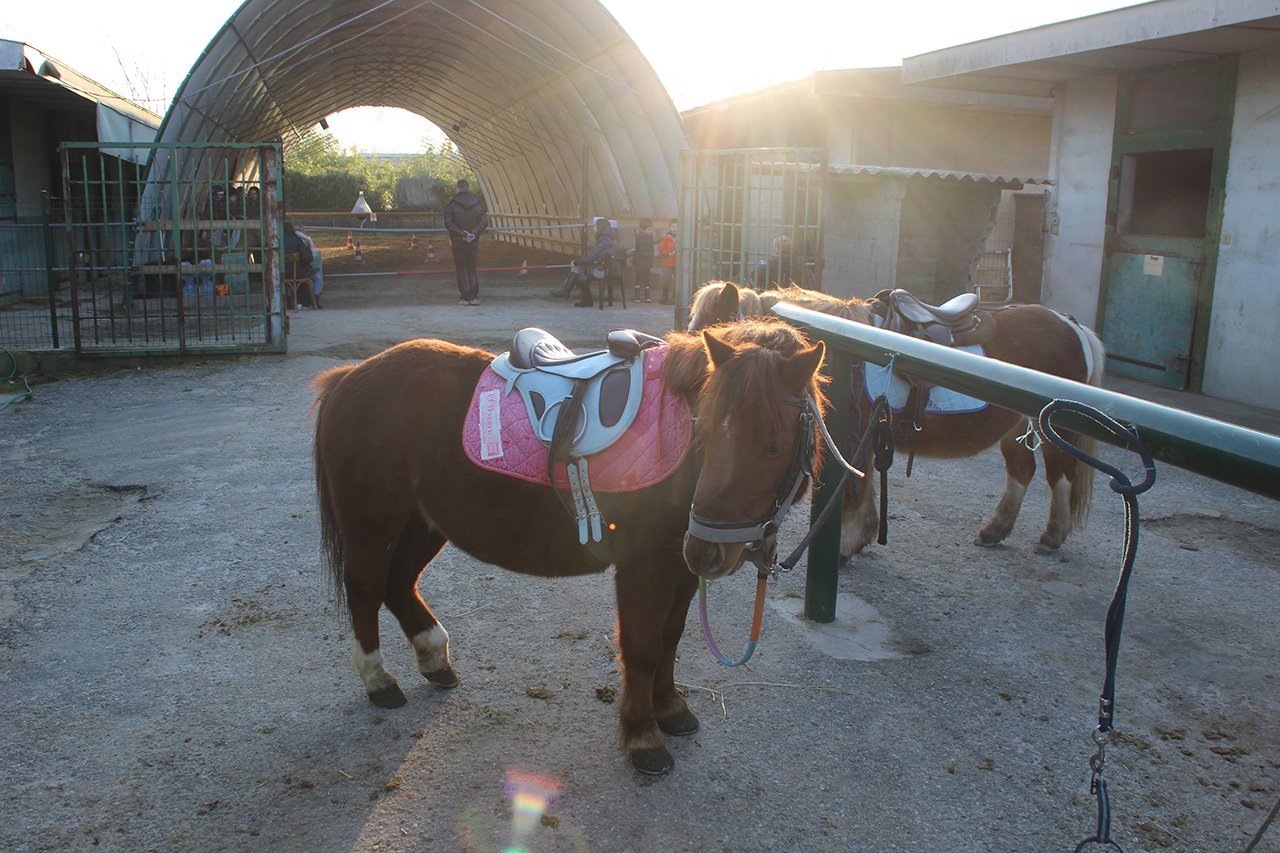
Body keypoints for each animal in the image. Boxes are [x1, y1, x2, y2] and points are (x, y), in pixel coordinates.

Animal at [313, 317, 824, 768]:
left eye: (774, 446)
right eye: (706, 431)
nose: (708, 550)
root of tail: (350, 377)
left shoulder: (679, 568)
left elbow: (670, 638)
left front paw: (670, 709)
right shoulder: (645, 567)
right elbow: (642, 645)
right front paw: (642, 736)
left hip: (424, 524)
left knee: (399, 585)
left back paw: (435, 659)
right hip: (373, 526)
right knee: (365, 590)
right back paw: (379, 681)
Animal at [691, 280, 1111, 558]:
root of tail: (1072, 325)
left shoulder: (856, 436)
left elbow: (854, 490)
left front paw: (845, 546)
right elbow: (866, 487)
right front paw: (861, 538)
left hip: (1054, 428)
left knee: (1060, 476)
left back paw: (1053, 535)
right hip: (1017, 426)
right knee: (1022, 472)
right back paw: (995, 530)